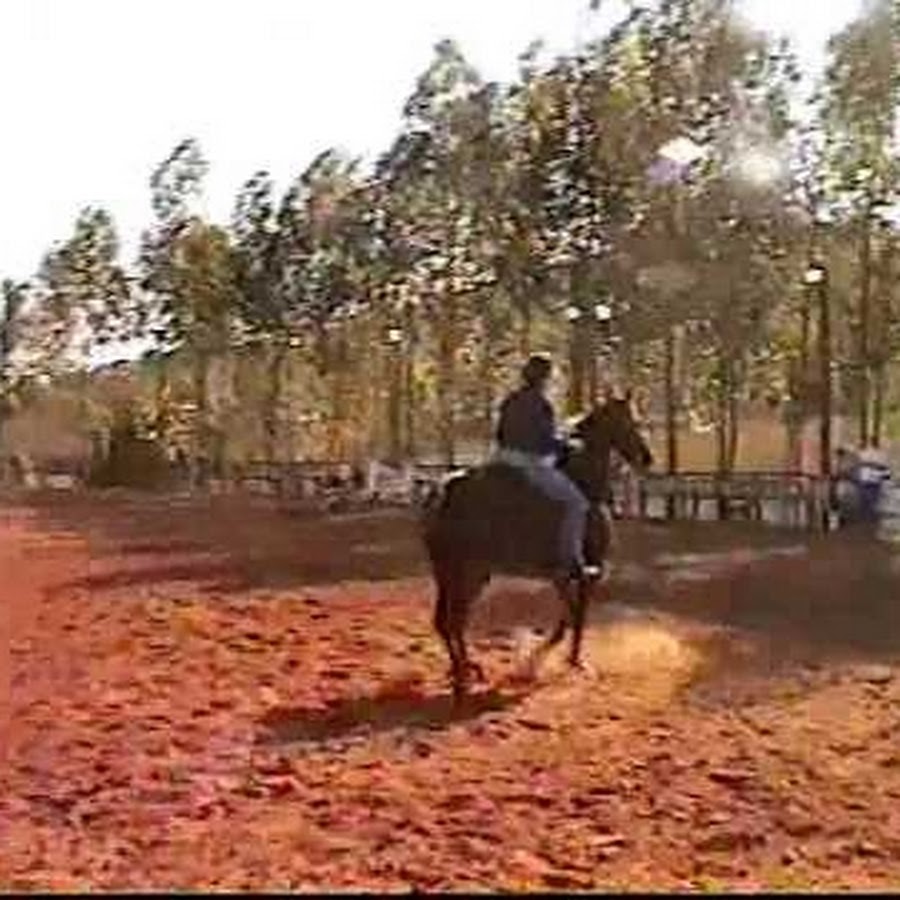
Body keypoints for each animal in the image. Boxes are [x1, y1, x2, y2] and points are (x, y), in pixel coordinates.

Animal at [421, 395, 654, 699]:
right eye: (628, 421)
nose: (646, 458)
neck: (585, 485)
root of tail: (445, 492)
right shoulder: (575, 573)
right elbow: (570, 619)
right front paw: (539, 664)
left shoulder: (571, 576)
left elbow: (573, 617)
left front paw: (566, 661)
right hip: (467, 573)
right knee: (454, 620)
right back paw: (464, 676)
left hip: (453, 572)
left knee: (445, 621)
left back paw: (465, 670)